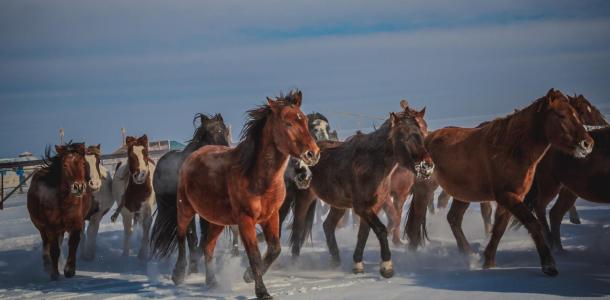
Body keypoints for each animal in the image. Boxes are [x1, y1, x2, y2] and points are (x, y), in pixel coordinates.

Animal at [27, 142, 90, 280]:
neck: (63, 203)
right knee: (46, 242)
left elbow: (73, 243)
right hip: (41, 226)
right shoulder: (50, 226)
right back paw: (47, 264)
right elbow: (54, 249)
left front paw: (69, 270)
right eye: (65, 165)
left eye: (83, 163)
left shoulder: (77, 223)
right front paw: (54, 273)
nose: (79, 187)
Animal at [426, 89, 592, 276]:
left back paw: (468, 255)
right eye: (561, 115)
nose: (587, 143)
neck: (510, 150)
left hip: (463, 195)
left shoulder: (511, 198)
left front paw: (489, 262)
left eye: (577, 114)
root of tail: (428, 137)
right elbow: (533, 224)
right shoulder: (507, 196)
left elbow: (499, 229)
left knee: (454, 219)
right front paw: (549, 265)